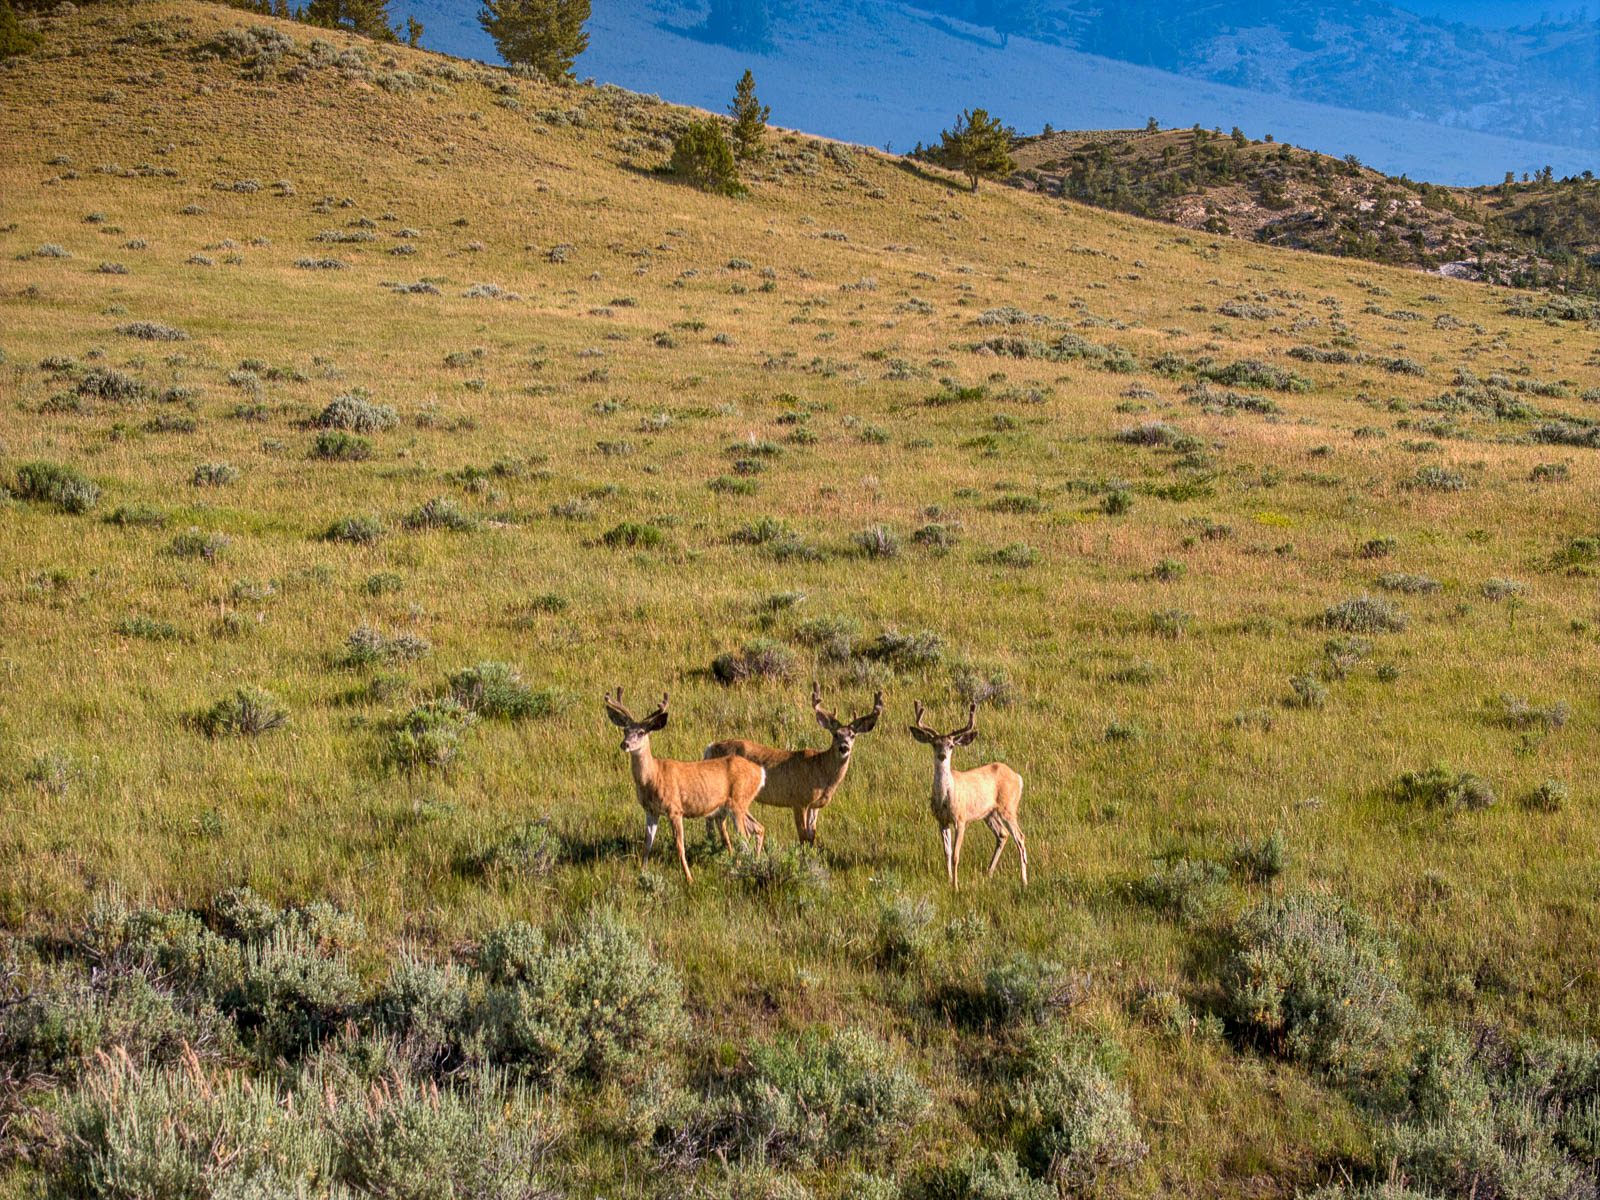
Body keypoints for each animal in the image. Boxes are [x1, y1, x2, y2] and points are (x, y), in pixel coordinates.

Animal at [603, 688, 766, 884]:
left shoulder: (675, 809)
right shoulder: (651, 811)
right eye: (625, 730)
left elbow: (680, 845)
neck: (653, 776)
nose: (625, 744)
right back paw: (751, 865)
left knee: (745, 836)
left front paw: (689, 878)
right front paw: (642, 872)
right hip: (738, 804)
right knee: (758, 828)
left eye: (642, 732)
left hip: (738, 802)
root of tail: (760, 772)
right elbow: (647, 844)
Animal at [702, 682, 884, 846]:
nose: (844, 747)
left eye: (852, 735)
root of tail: (710, 747)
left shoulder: (815, 805)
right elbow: (802, 836)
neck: (822, 771)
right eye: (835, 734)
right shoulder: (798, 800)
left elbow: (811, 836)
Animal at [907, 700, 1027, 891]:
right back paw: (989, 872)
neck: (944, 798)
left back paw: (1024, 881)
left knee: (1020, 838)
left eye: (951, 745)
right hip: (989, 813)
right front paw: (948, 879)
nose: (942, 755)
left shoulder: (960, 819)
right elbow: (947, 852)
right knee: (1002, 834)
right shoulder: (941, 820)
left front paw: (956, 887)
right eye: (934, 743)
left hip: (1008, 807)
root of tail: (1018, 777)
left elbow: (956, 855)